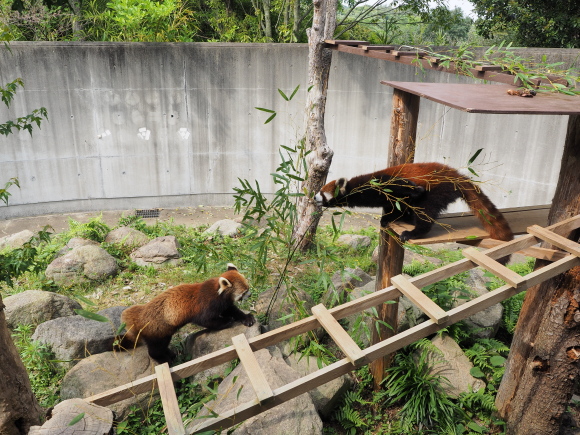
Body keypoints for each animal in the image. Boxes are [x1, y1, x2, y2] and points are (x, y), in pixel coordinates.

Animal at [118, 264, 254, 362]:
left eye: (248, 288)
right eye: (244, 292)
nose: (250, 294)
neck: (218, 292)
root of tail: (137, 318)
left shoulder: (223, 304)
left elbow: (232, 310)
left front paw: (246, 318)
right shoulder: (206, 304)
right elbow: (206, 320)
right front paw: (226, 321)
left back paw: (170, 354)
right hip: (156, 331)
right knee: (155, 349)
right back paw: (164, 359)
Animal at [314, 164, 516, 245]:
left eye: (322, 193)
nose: (313, 198)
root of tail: (456, 176)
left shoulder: (382, 183)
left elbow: (408, 188)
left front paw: (416, 191)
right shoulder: (390, 199)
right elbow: (394, 208)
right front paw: (386, 221)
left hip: (437, 190)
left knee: (425, 211)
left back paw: (414, 232)